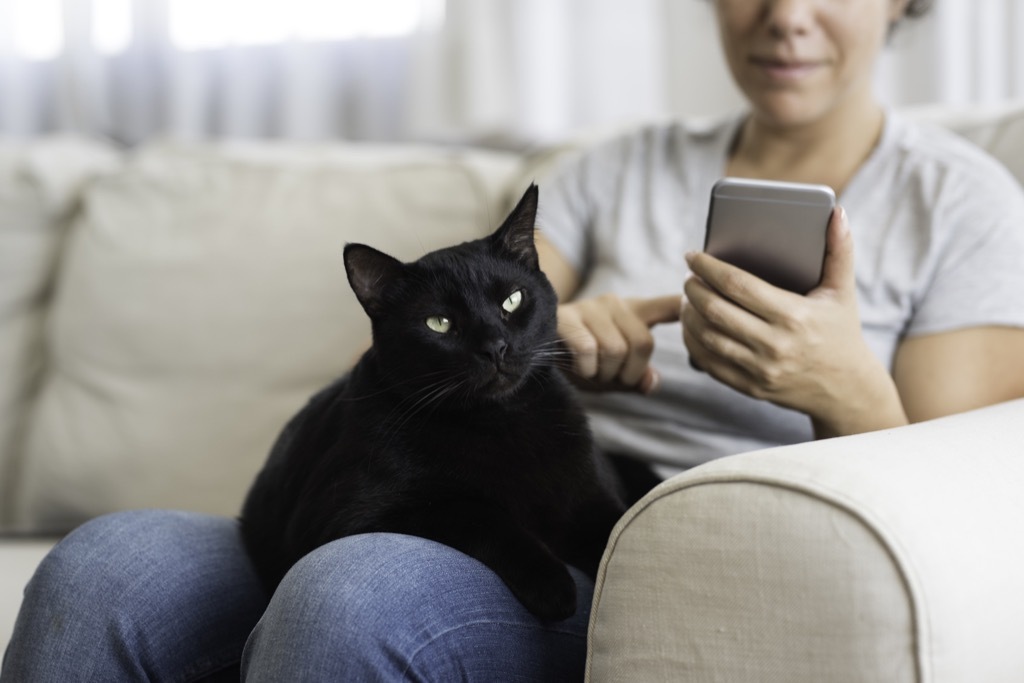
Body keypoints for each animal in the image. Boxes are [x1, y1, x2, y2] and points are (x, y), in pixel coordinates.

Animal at [239, 184, 622, 622]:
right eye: (439, 324)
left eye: (512, 300)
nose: (495, 347)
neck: (500, 422)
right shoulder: (350, 516)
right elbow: (476, 513)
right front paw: (551, 583)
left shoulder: (594, 501)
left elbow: (620, 535)